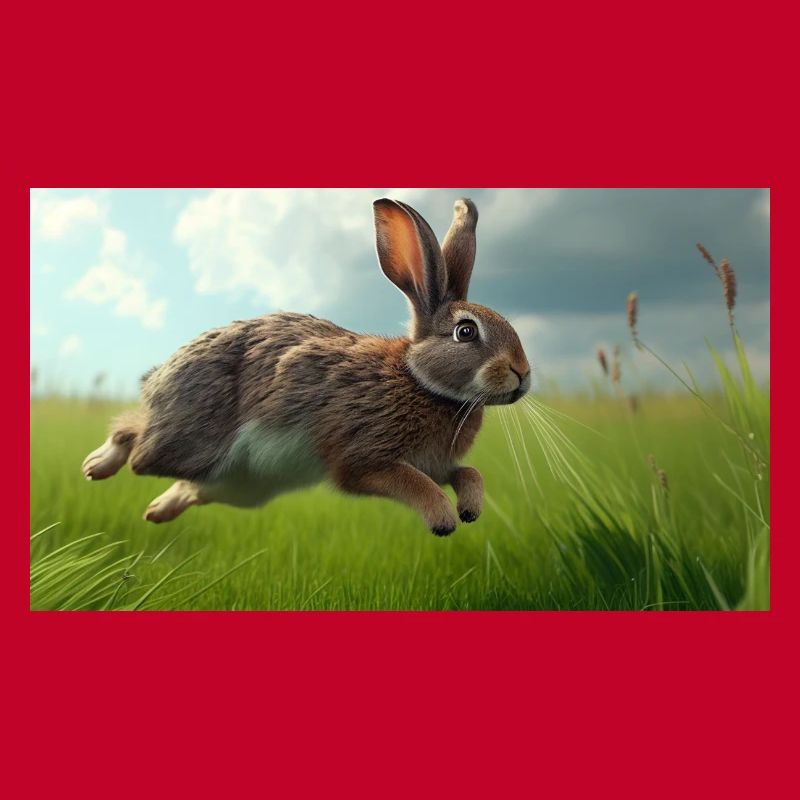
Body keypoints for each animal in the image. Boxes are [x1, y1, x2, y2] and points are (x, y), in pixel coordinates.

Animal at [81, 197, 531, 535]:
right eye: (466, 332)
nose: (523, 374)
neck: (420, 380)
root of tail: (159, 376)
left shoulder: (437, 463)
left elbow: (468, 473)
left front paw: (470, 509)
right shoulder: (363, 457)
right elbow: (411, 482)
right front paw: (442, 518)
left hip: (240, 488)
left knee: (190, 487)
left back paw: (157, 511)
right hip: (190, 443)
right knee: (136, 440)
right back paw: (97, 465)